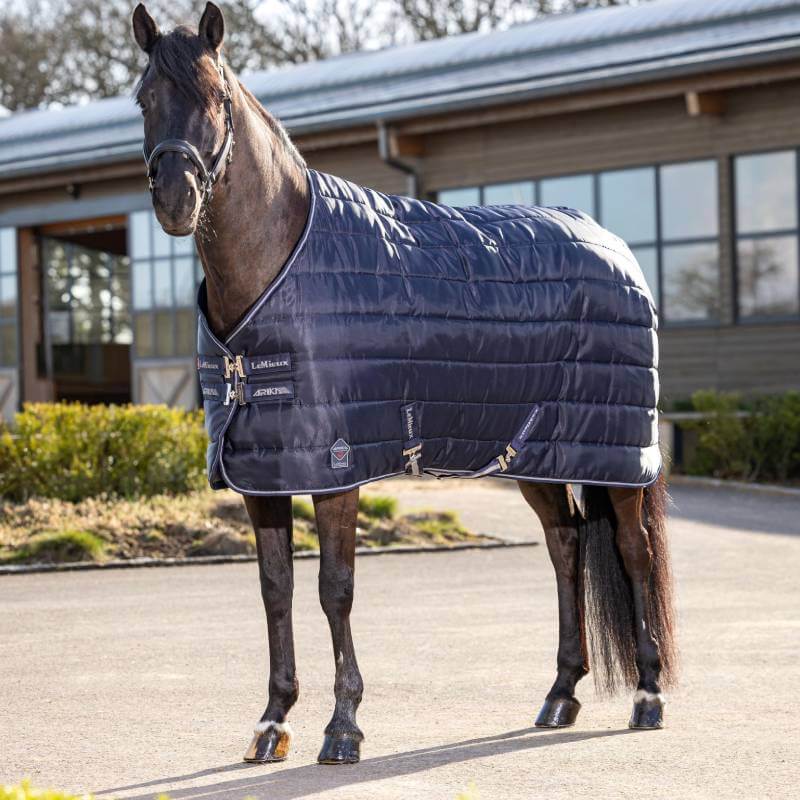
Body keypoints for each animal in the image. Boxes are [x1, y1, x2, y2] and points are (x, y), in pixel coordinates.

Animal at [132, 2, 677, 765]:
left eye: (215, 96)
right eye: (144, 98)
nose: (177, 199)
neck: (283, 265)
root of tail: (614, 248)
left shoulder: (336, 466)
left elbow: (334, 589)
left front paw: (343, 727)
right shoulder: (262, 472)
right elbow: (276, 590)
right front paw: (272, 722)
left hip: (618, 458)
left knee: (633, 553)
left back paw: (647, 696)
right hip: (533, 453)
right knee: (565, 545)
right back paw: (560, 694)